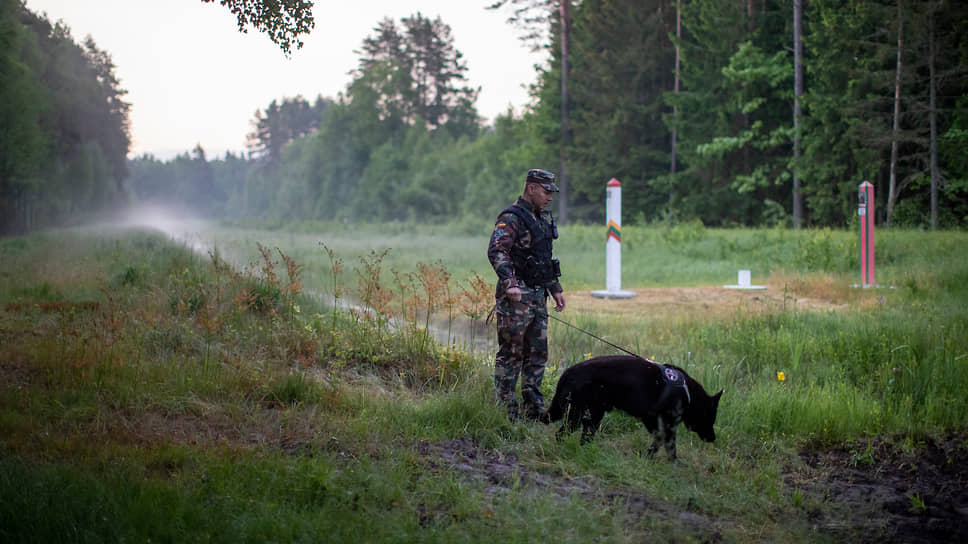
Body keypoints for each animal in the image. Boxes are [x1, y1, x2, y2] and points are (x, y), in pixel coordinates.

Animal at [548, 354, 724, 462]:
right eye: (711, 419)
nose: (713, 438)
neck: (688, 394)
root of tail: (567, 373)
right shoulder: (666, 424)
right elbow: (668, 445)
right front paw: (672, 463)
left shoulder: (652, 420)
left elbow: (660, 440)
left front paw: (649, 456)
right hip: (582, 416)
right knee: (564, 435)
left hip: (589, 417)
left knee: (578, 436)